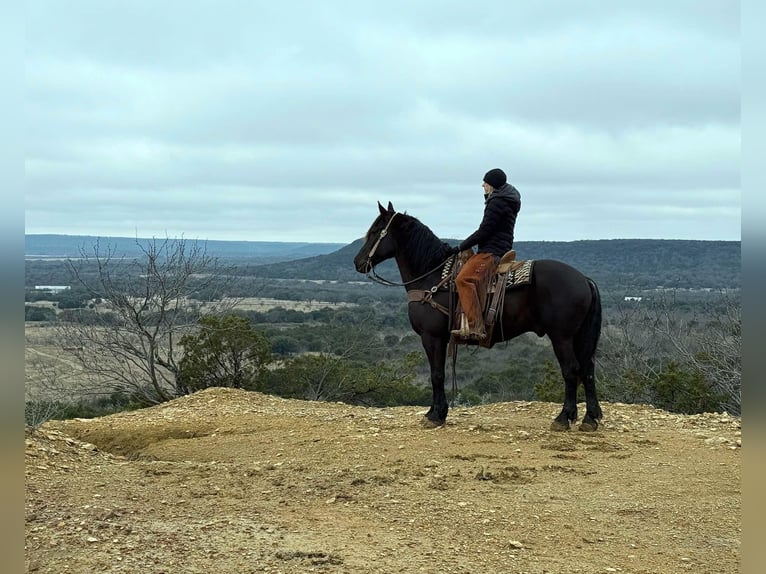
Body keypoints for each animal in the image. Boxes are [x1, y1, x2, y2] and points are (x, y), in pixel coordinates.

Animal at [353, 201, 604, 431]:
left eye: (376, 231)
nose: (358, 262)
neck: (432, 276)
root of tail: (584, 279)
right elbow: (438, 374)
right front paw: (436, 412)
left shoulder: (431, 337)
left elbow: (436, 374)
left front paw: (435, 416)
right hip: (578, 337)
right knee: (587, 370)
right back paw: (590, 419)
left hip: (561, 336)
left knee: (571, 370)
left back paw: (563, 418)